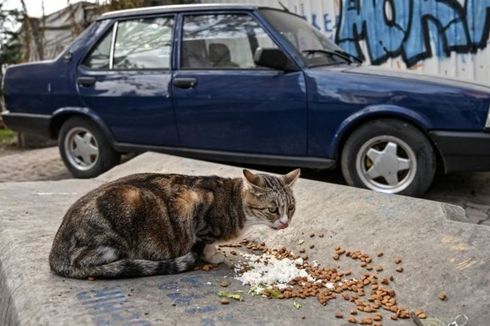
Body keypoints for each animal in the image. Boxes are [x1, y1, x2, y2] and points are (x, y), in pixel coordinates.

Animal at [48, 169, 298, 278]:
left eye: (291, 208)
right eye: (272, 209)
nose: (285, 224)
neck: (234, 202)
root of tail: (55, 253)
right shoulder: (191, 204)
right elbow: (206, 244)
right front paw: (214, 255)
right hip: (125, 205)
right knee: (87, 262)